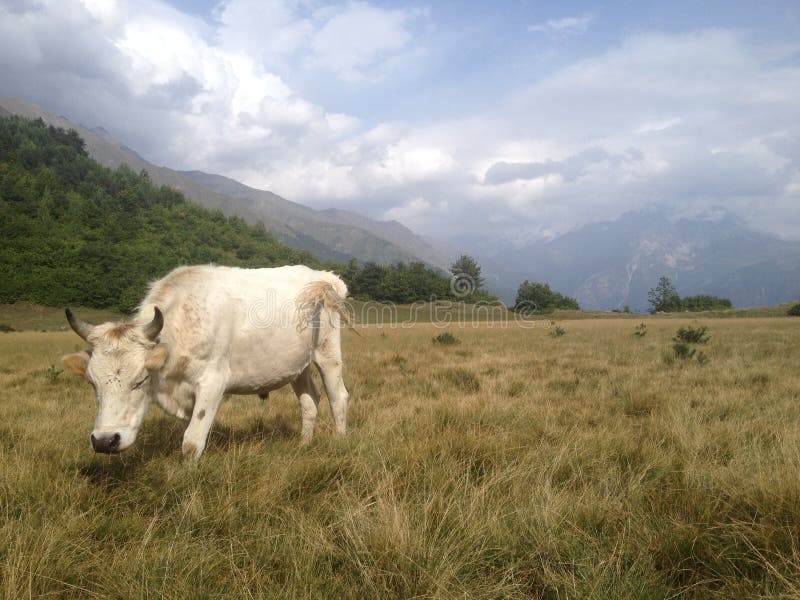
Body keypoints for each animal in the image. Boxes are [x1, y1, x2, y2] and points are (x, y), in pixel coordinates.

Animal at [61, 264, 348, 458]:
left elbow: (191, 441)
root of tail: (327, 277)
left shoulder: (213, 382)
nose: (104, 441)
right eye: (92, 383)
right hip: (296, 365)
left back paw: (339, 442)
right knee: (309, 401)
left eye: (140, 380)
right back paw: (304, 445)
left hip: (328, 354)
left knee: (338, 397)